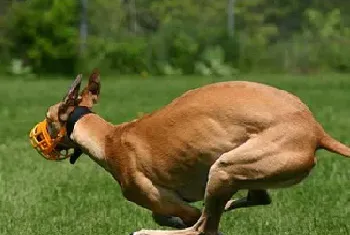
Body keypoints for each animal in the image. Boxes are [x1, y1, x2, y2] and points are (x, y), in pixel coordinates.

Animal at [29, 69, 350, 234]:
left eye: (48, 117)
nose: (33, 136)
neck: (110, 138)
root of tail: (316, 131)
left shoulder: (157, 195)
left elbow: (181, 214)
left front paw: (169, 222)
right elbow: (174, 214)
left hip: (225, 167)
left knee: (202, 229)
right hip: (241, 171)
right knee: (252, 199)